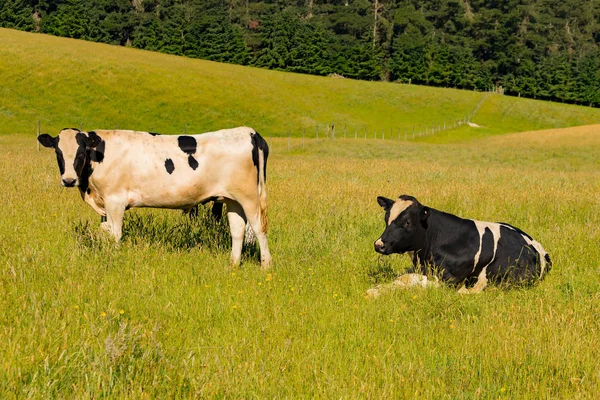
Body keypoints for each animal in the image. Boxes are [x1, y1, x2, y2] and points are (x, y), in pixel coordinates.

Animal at [38, 126, 272, 270]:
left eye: (80, 152)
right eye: (58, 153)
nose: (69, 180)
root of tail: (249, 132)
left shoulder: (115, 200)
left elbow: (115, 234)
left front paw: (113, 258)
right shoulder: (104, 203)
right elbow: (104, 231)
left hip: (249, 197)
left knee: (258, 228)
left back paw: (266, 265)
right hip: (232, 199)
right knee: (237, 230)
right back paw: (233, 263)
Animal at [370, 195, 552, 296]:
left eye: (407, 222)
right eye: (387, 219)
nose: (379, 245)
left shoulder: (449, 281)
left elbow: (415, 281)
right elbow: (403, 277)